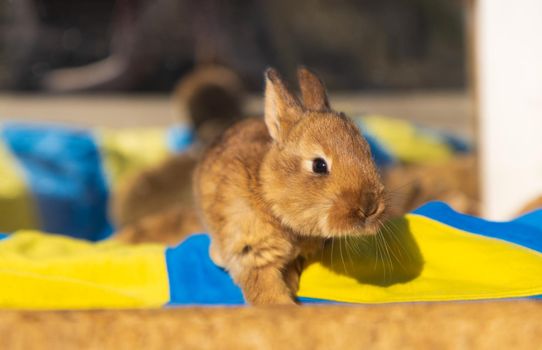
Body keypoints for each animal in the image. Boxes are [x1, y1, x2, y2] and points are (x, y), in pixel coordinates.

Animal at [194, 67, 386, 304]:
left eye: (368, 152)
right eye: (319, 165)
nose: (369, 208)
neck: (266, 194)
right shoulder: (253, 254)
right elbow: (267, 291)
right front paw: (287, 305)